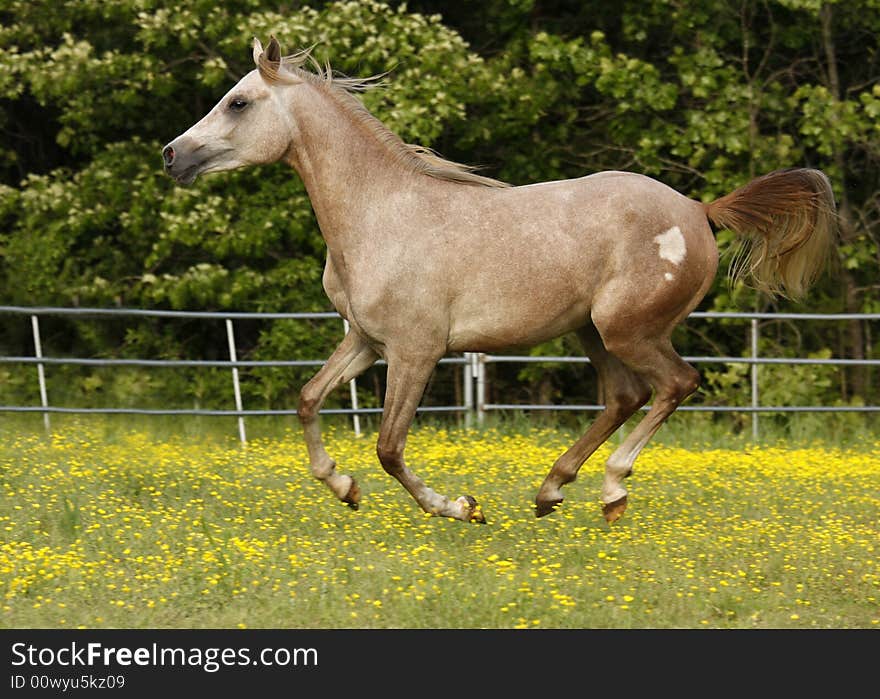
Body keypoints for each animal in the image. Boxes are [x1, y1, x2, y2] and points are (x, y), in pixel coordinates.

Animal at [160, 37, 840, 520]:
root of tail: (699, 210)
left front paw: (460, 507)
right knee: (624, 395)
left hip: (628, 329)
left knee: (675, 384)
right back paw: (550, 491)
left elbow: (389, 446)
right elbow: (307, 400)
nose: (172, 154)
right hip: (591, 331)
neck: (382, 213)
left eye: (238, 102)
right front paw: (344, 487)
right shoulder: (365, 342)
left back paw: (611, 491)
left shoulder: (416, 351)